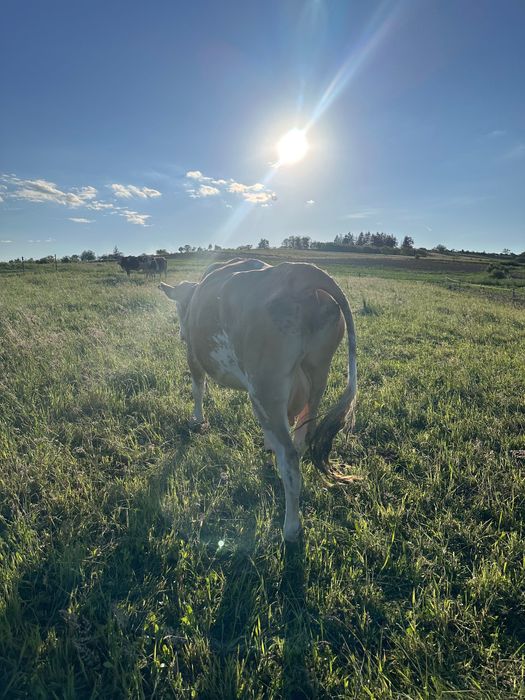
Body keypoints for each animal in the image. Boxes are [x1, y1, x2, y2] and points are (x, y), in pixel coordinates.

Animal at [160, 258, 357, 542]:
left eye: (178, 308)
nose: (180, 333)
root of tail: (300, 272)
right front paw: (267, 444)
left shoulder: (193, 357)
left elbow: (198, 389)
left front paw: (197, 421)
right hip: (317, 375)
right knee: (300, 441)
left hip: (264, 385)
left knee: (290, 458)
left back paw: (290, 529)